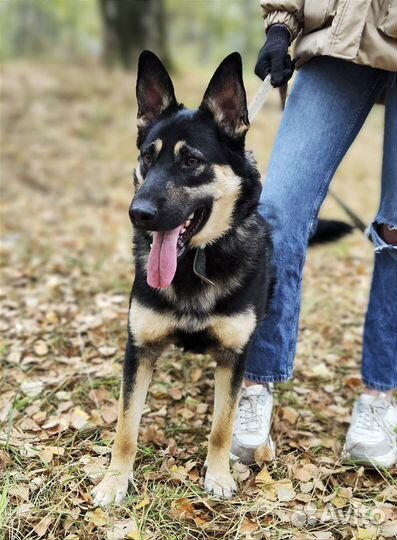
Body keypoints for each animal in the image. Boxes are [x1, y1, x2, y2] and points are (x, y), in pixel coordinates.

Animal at [91, 51, 274, 506]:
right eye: (147, 157)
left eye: (190, 161)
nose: (138, 214)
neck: (196, 261)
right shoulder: (139, 351)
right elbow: (126, 427)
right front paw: (115, 480)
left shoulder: (234, 356)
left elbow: (222, 424)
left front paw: (219, 475)